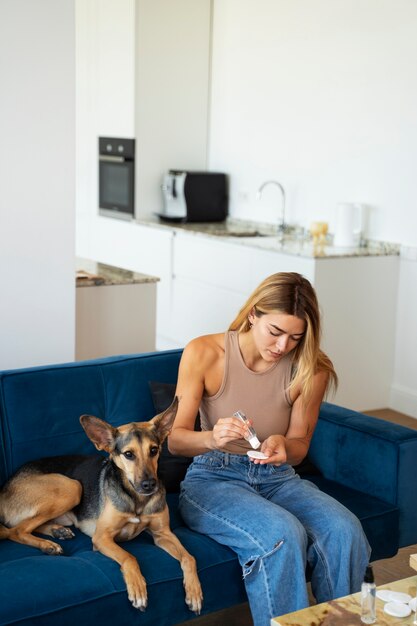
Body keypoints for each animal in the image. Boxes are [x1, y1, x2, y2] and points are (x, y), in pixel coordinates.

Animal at [0, 398, 203, 612]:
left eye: (154, 450)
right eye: (128, 454)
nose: (149, 485)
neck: (136, 499)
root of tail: (4, 488)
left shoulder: (163, 533)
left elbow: (189, 557)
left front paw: (194, 591)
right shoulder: (102, 537)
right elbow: (129, 557)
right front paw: (138, 589)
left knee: (25, 526)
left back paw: (57, 532)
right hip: (72, 487)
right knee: (16, 530)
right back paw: (48, 545)